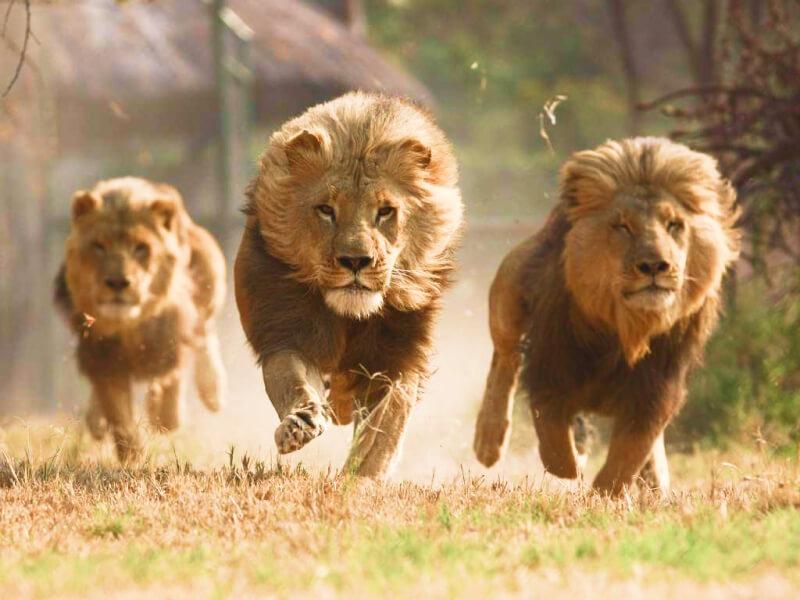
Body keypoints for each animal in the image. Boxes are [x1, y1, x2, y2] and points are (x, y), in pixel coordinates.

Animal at [55, 177, 227, 462]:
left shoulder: (170, 337)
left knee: (205, 333)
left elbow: (170, 376)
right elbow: (118, 414)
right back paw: (96, 421)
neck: (129, 327)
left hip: (209, 273)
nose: (117, 282)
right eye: (99, 246)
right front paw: (132, 457)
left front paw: (165, 416)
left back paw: (212, 391)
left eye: (141, 249)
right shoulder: (101, 356)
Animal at [234, 92, 463, 478]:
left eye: (385, 211)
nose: (355, 261)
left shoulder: (399, 356)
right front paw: (300, 423)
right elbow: (291, 380)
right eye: (326, 210)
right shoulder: (289, 331)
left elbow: (385, 427)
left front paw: (363, 475)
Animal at [473, 137, 740, 496]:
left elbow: (628, 456)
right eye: (622, 226)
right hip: (510, 287)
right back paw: (488, 441)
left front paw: (607, 491)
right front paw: (576, 460)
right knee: (505, 360)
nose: (655, 265)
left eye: (674, 225)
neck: (626, 328)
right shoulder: (552, 371)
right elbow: (555, 445)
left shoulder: (655, 392)